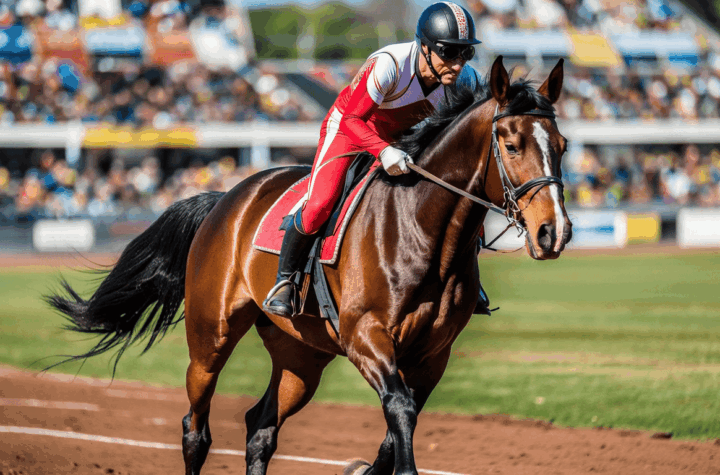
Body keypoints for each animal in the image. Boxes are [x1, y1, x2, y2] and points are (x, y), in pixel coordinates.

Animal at [47, 56, 572, 475]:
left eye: (563, 145)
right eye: (510, 144)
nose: (555, 232)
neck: (421, 229)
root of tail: (226, 198)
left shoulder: (431, 355)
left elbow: (396, 427)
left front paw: (363, 469)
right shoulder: (365, 337)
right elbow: (399, 411)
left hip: (301, 354)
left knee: (260, 427)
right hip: (210, 336)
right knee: (195, 427)